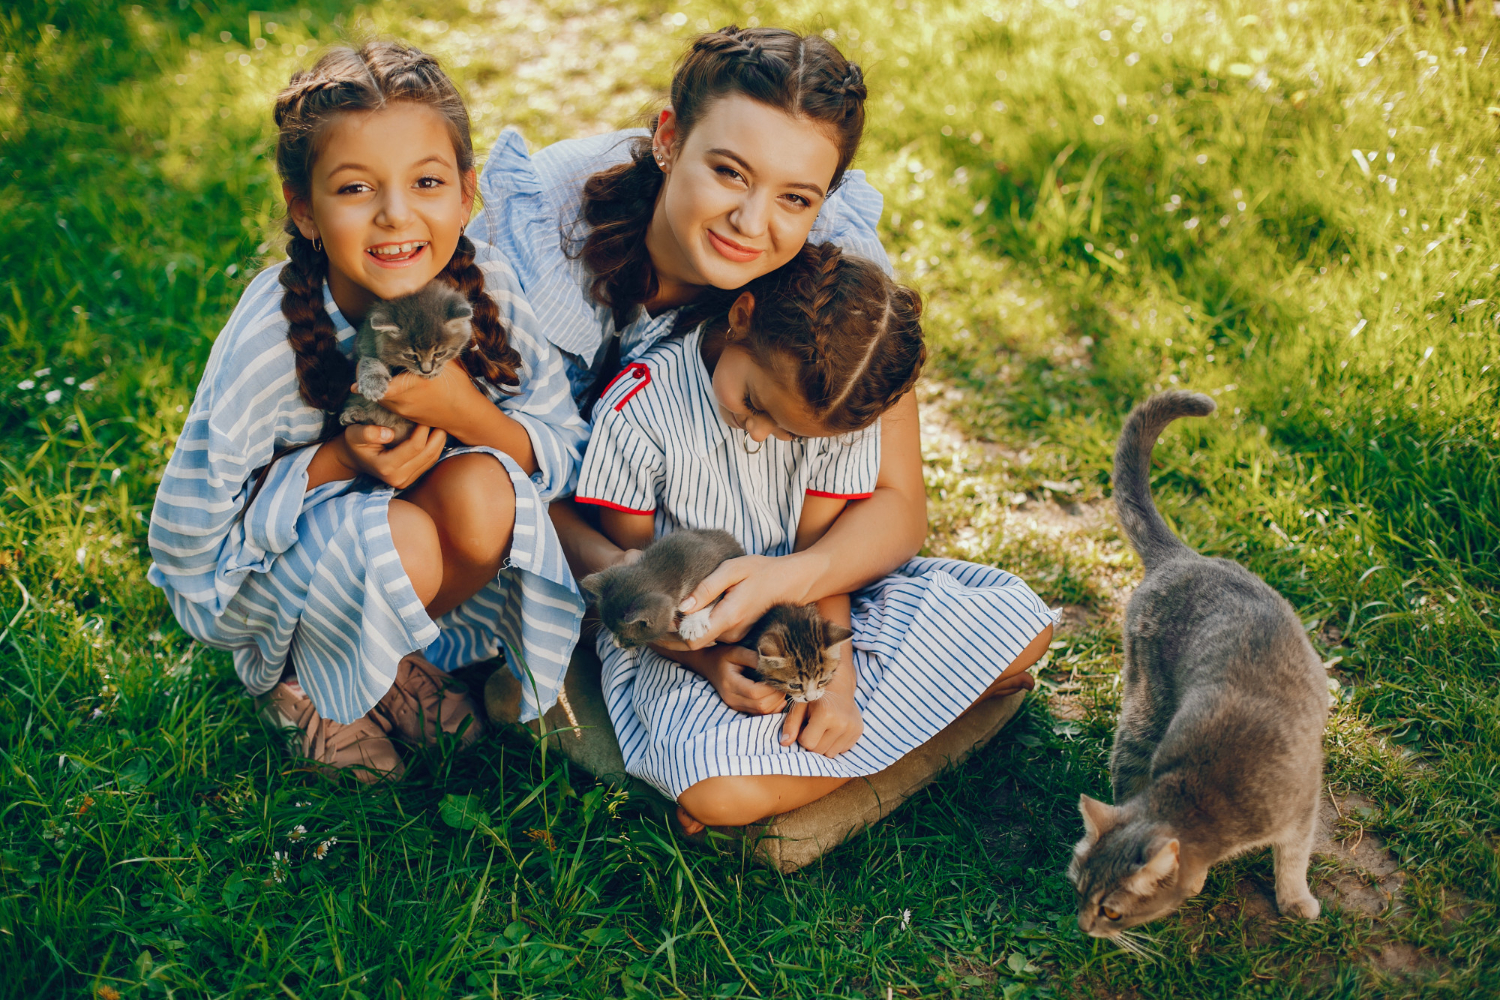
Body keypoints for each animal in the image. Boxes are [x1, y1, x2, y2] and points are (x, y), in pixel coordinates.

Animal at [337, 280, 471, 440]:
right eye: (410, 356)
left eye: (439, 353)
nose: (426, 370)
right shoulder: (366, 343)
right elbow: (369, 361)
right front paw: (373, 384)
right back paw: (354, 414)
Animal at [1068, 386, 1326, 941]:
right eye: (1077, 889)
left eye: (1111, 911)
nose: (1083, 928)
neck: (1203, 793)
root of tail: (1180, 557)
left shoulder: (1301, 812)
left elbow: (1293, 862)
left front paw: (1295, 900)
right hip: (1142, 711)